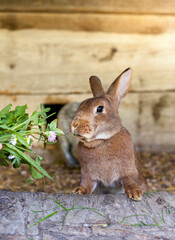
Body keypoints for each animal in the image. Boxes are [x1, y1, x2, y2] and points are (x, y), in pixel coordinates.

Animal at [70, 68, 147, 201]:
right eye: (81, 105)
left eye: (100, 108)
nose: (74, 125)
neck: (101, 141)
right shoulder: (88, 174)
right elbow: (86, 184)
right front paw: (78, 191)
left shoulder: (128, 170)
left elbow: (130, 179)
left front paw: (135, 193)